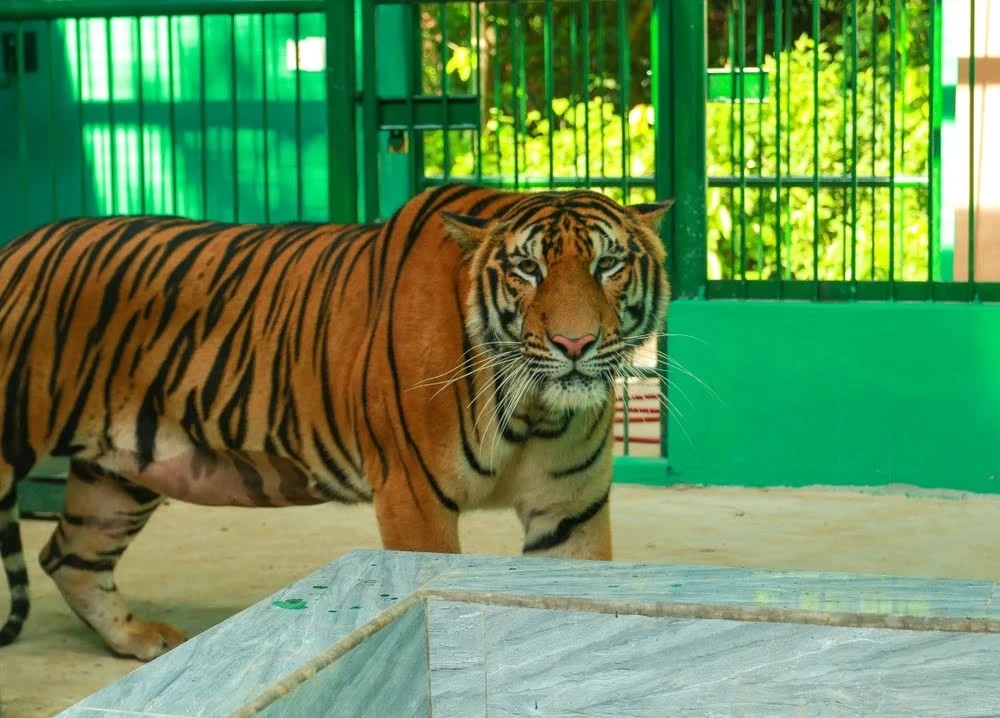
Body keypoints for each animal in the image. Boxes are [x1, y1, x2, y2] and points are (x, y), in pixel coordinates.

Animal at [1, 183, 672, 660]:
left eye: (609, 265)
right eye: (528, 270)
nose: (574, 344)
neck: (535, 409)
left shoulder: (571, 509)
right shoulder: (414, 498)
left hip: (122, 470)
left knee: (69, 556)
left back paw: (141, 640)